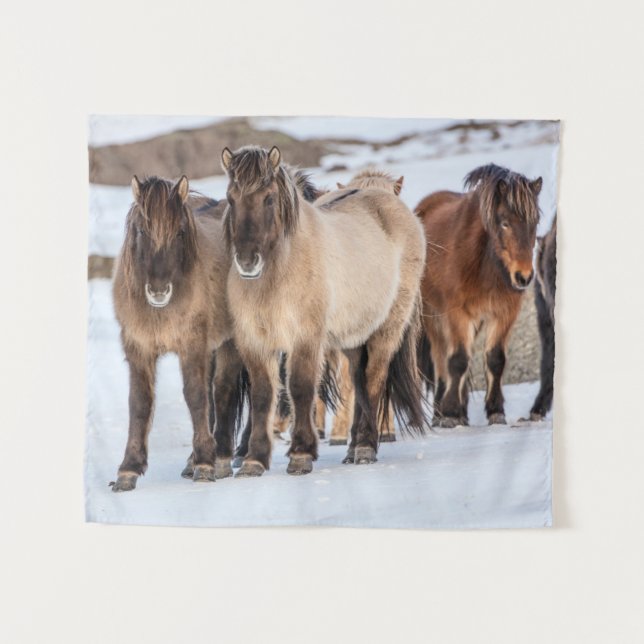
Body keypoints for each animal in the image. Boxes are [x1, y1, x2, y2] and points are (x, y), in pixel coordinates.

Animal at [110, 175, 247, 491]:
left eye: (180, 232)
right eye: (142, 230)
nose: (159, 291)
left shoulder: (192, 346)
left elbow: (196, 397)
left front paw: (206, 464)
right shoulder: (139, 349)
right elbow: (139, 403)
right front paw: (128, 469)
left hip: (229, 343)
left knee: (221, 392)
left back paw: (220, 457)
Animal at [221, 146, 427, 476]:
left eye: (268, 198)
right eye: (231, 198)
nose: (247, 262)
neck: (279, 272)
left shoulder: (306, 338)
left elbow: (301, 387)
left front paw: (301, 454)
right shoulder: (254, 341)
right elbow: (263, 395)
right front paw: (254, 460)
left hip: (387, 328)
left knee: (374, 378)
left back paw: (366, 446)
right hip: (354, 336)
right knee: (358, 380)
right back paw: (353, 447)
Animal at [415, 163, 542, 427]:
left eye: (535, 221)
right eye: (504, 222)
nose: (524, 277)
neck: (484, 265)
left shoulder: (504, 313)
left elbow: (495, 359)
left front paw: (495, 411)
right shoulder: (456, 314)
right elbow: (457, 360)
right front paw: (450, 412)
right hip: (434, 317)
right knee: (441, 359)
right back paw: (440, 413)